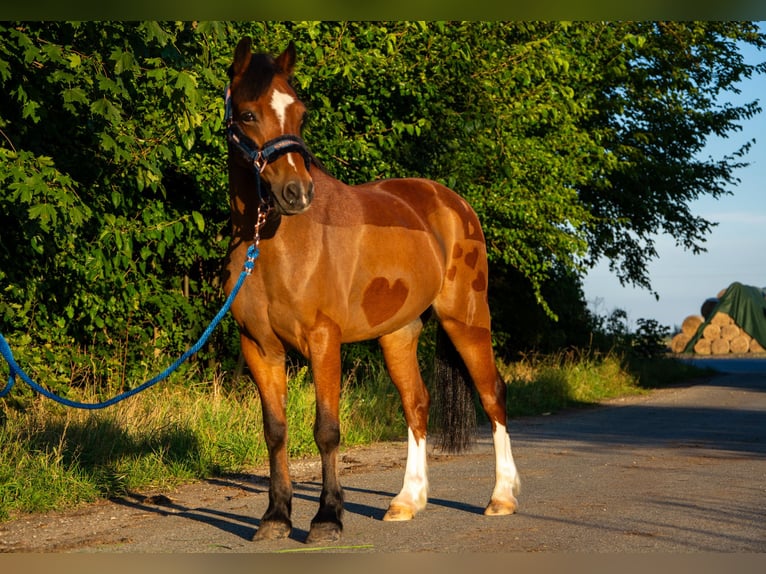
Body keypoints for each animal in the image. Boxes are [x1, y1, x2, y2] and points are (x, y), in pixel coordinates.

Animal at [222, 37, 520, 543]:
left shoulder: (323, 340)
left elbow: (326, 429)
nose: (296, 193)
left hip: (466, 319)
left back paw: (502, 497)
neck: (273, 244)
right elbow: (275, 430)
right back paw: (407, 501)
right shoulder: (259, 347)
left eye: (299, 112)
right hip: (398, 334)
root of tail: (453, 202)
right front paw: (276, 517)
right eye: (247, 114)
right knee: (416, 404)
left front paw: (326, 518)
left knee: (492, 394)